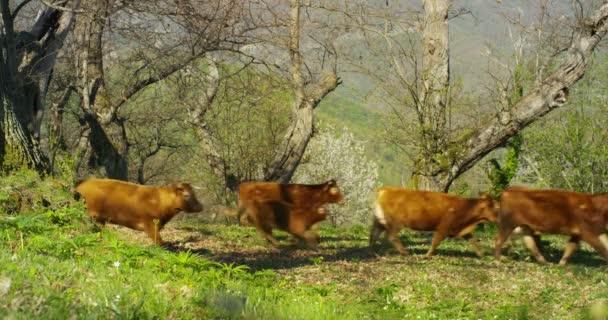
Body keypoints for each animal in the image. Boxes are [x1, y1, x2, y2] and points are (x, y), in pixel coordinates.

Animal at [368, 188, 496, 258]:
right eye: (491, 206)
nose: (497, 217)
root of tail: (386, 189)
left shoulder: (461, 229)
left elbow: (473, 241)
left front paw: (481, 254)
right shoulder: (443, 227)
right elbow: (436, 242)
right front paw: (428, 255)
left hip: (381, 222)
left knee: (375, 235)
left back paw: (375, 252)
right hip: (395, 223)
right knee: (391, 236)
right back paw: (404, 252)